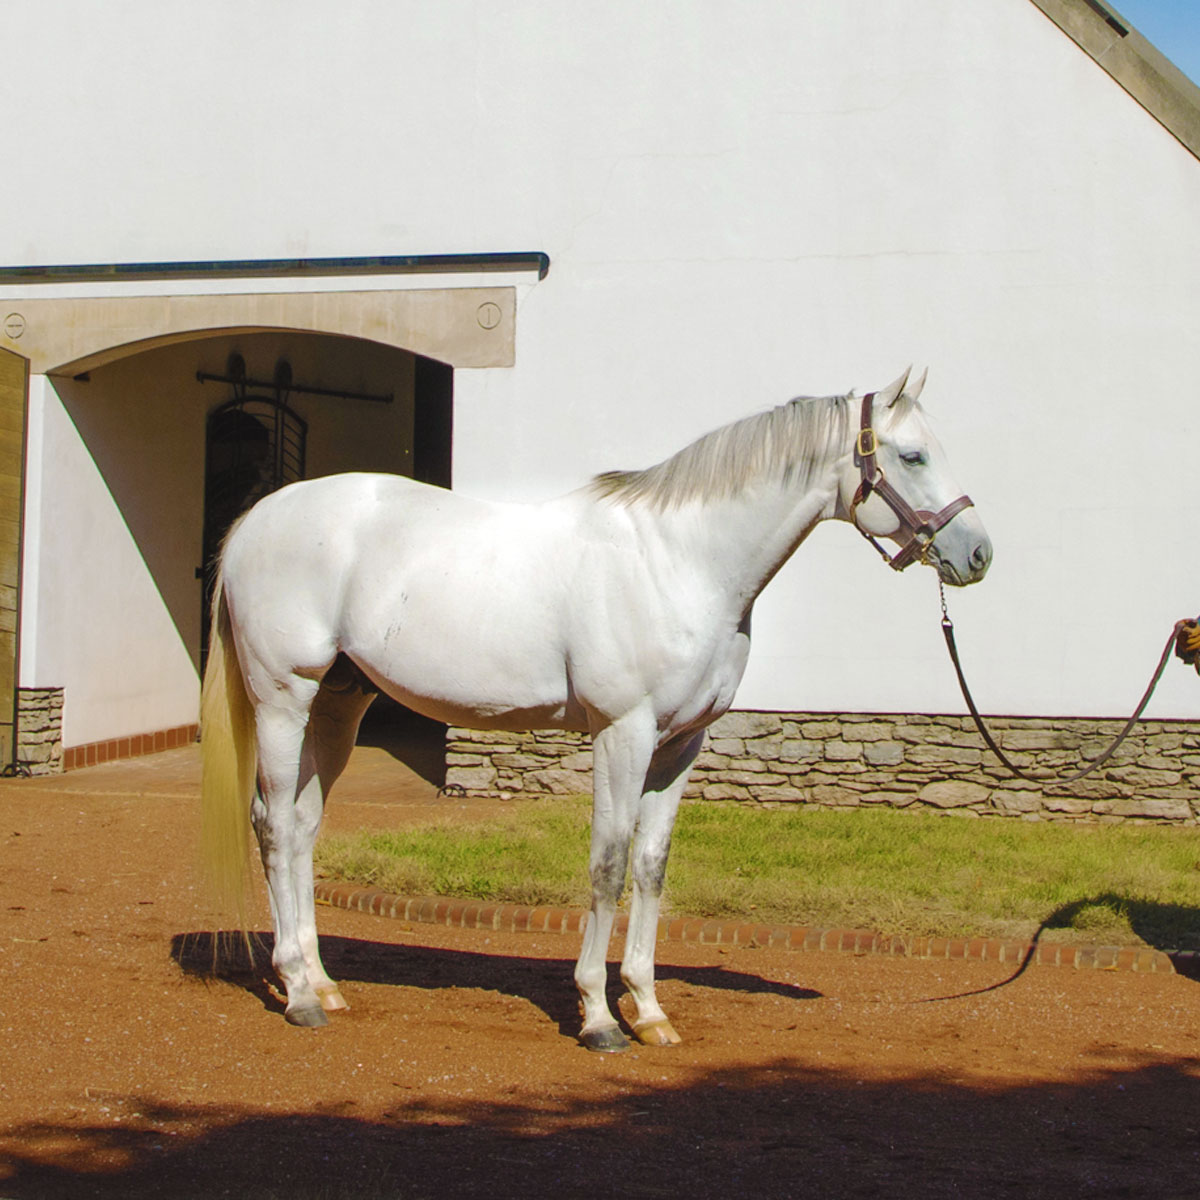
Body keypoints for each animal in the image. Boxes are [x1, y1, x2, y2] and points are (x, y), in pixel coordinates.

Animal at [200, 367, 991, 1052]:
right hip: (284, 698)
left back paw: (324, 983)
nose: (978, 553)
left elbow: (651, 866)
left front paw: (648, 1009)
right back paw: (298, 994)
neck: (680, 561)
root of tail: (256, 521)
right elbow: (607, 863)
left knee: (304, 826)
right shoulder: (623, 733)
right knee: (274, 827)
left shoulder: (680, 745)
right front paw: (599, 1017)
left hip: (338, 705)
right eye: (913, 455)